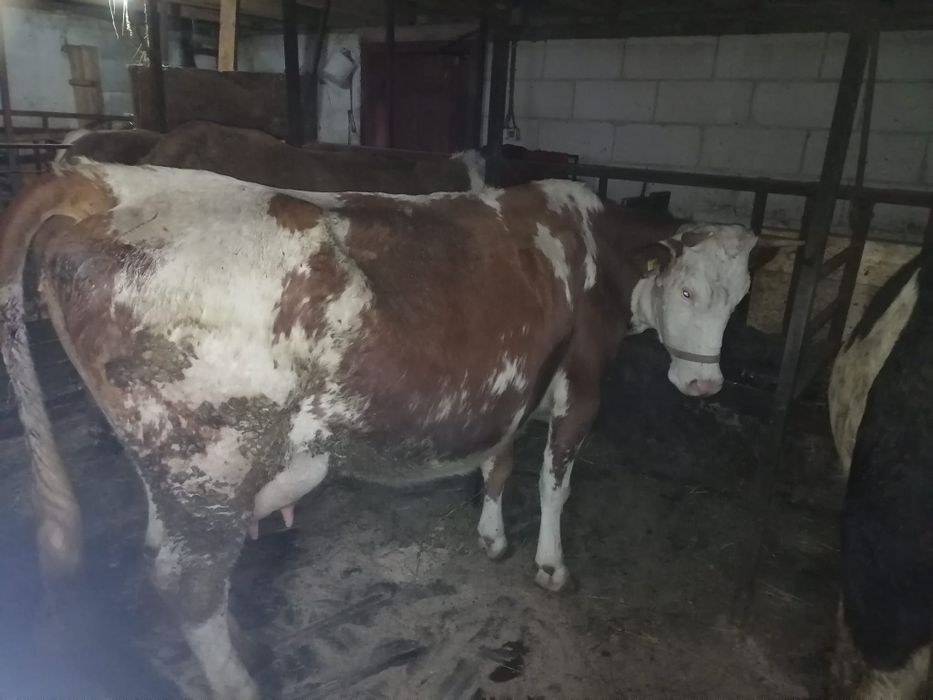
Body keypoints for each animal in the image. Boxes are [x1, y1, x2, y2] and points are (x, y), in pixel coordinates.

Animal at [0, 162, 777, 699]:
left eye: (741, 298)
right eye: (686, 290)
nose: (704, 386)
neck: (596, 252)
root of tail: (105, 179)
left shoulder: (510, 384)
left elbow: (499, 463)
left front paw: (492, 537)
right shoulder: (580, 383)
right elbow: (555, 481)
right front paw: (550, 565)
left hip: (176, 465)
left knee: (170, 554)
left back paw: (246, 645)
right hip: (213, 457)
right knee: (186, 585)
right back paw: (241, 680)